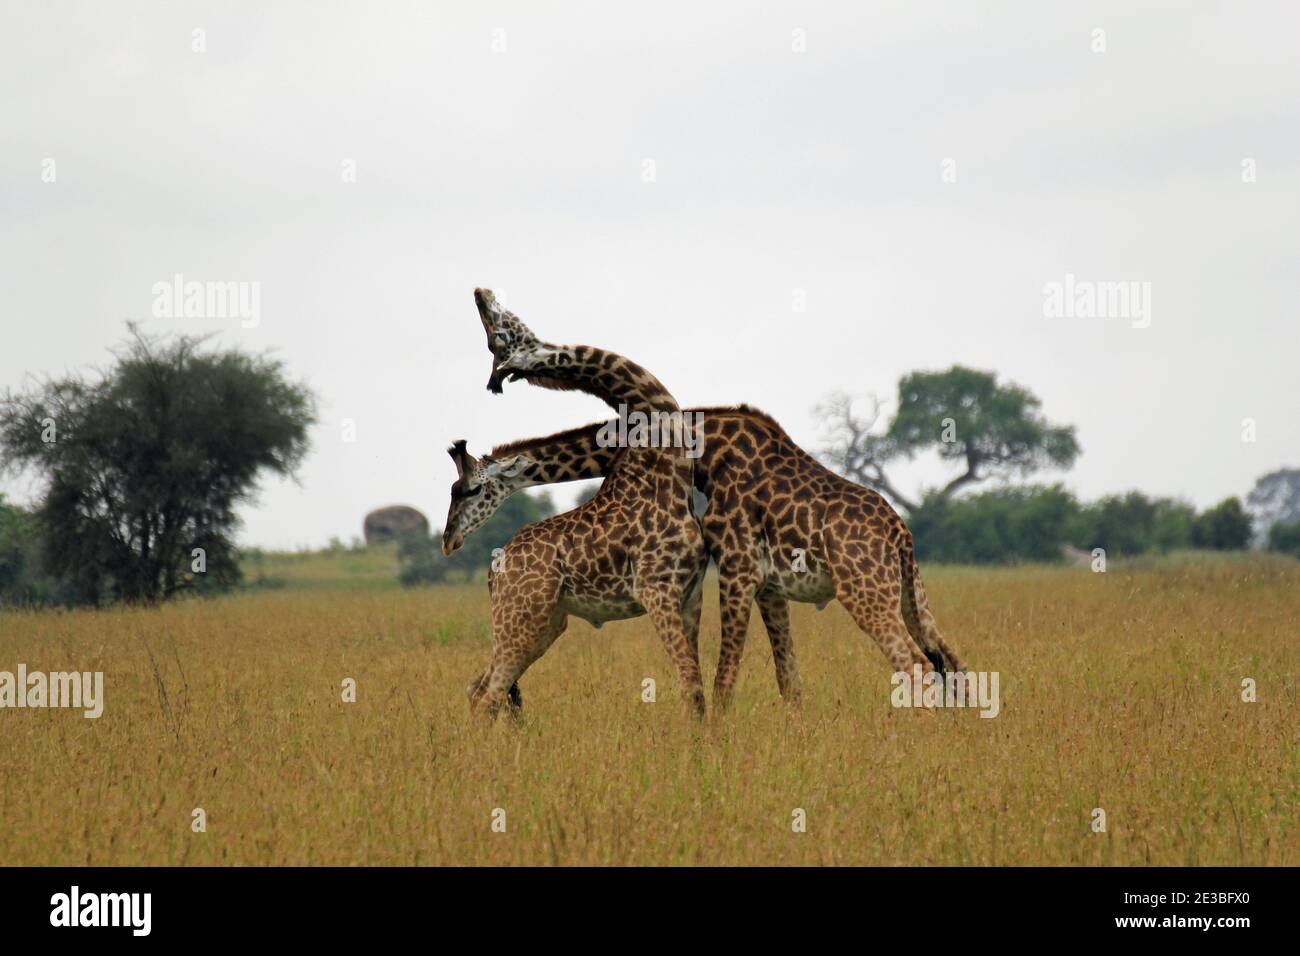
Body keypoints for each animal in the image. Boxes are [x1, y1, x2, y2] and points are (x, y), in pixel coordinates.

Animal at [444, 405, 967, 709]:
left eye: (466, 489)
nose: (449, 540)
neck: (705, 445)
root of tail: (901, 533)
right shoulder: (766, 583)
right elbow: (788, 681)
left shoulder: (735, 567)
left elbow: (721, 680)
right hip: (909, 593)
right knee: (952, 663)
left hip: (865, 592)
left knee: (918, 667)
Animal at [451, 289, 708, 720]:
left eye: (496, 337)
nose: (480, 293)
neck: (665, 470)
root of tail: (492, 569)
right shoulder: (658, 590)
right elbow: (690, 686)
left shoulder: (691, 595)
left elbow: (698, 685)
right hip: (522, 619)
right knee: (488, 694)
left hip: (547, 622)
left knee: (479, 687)